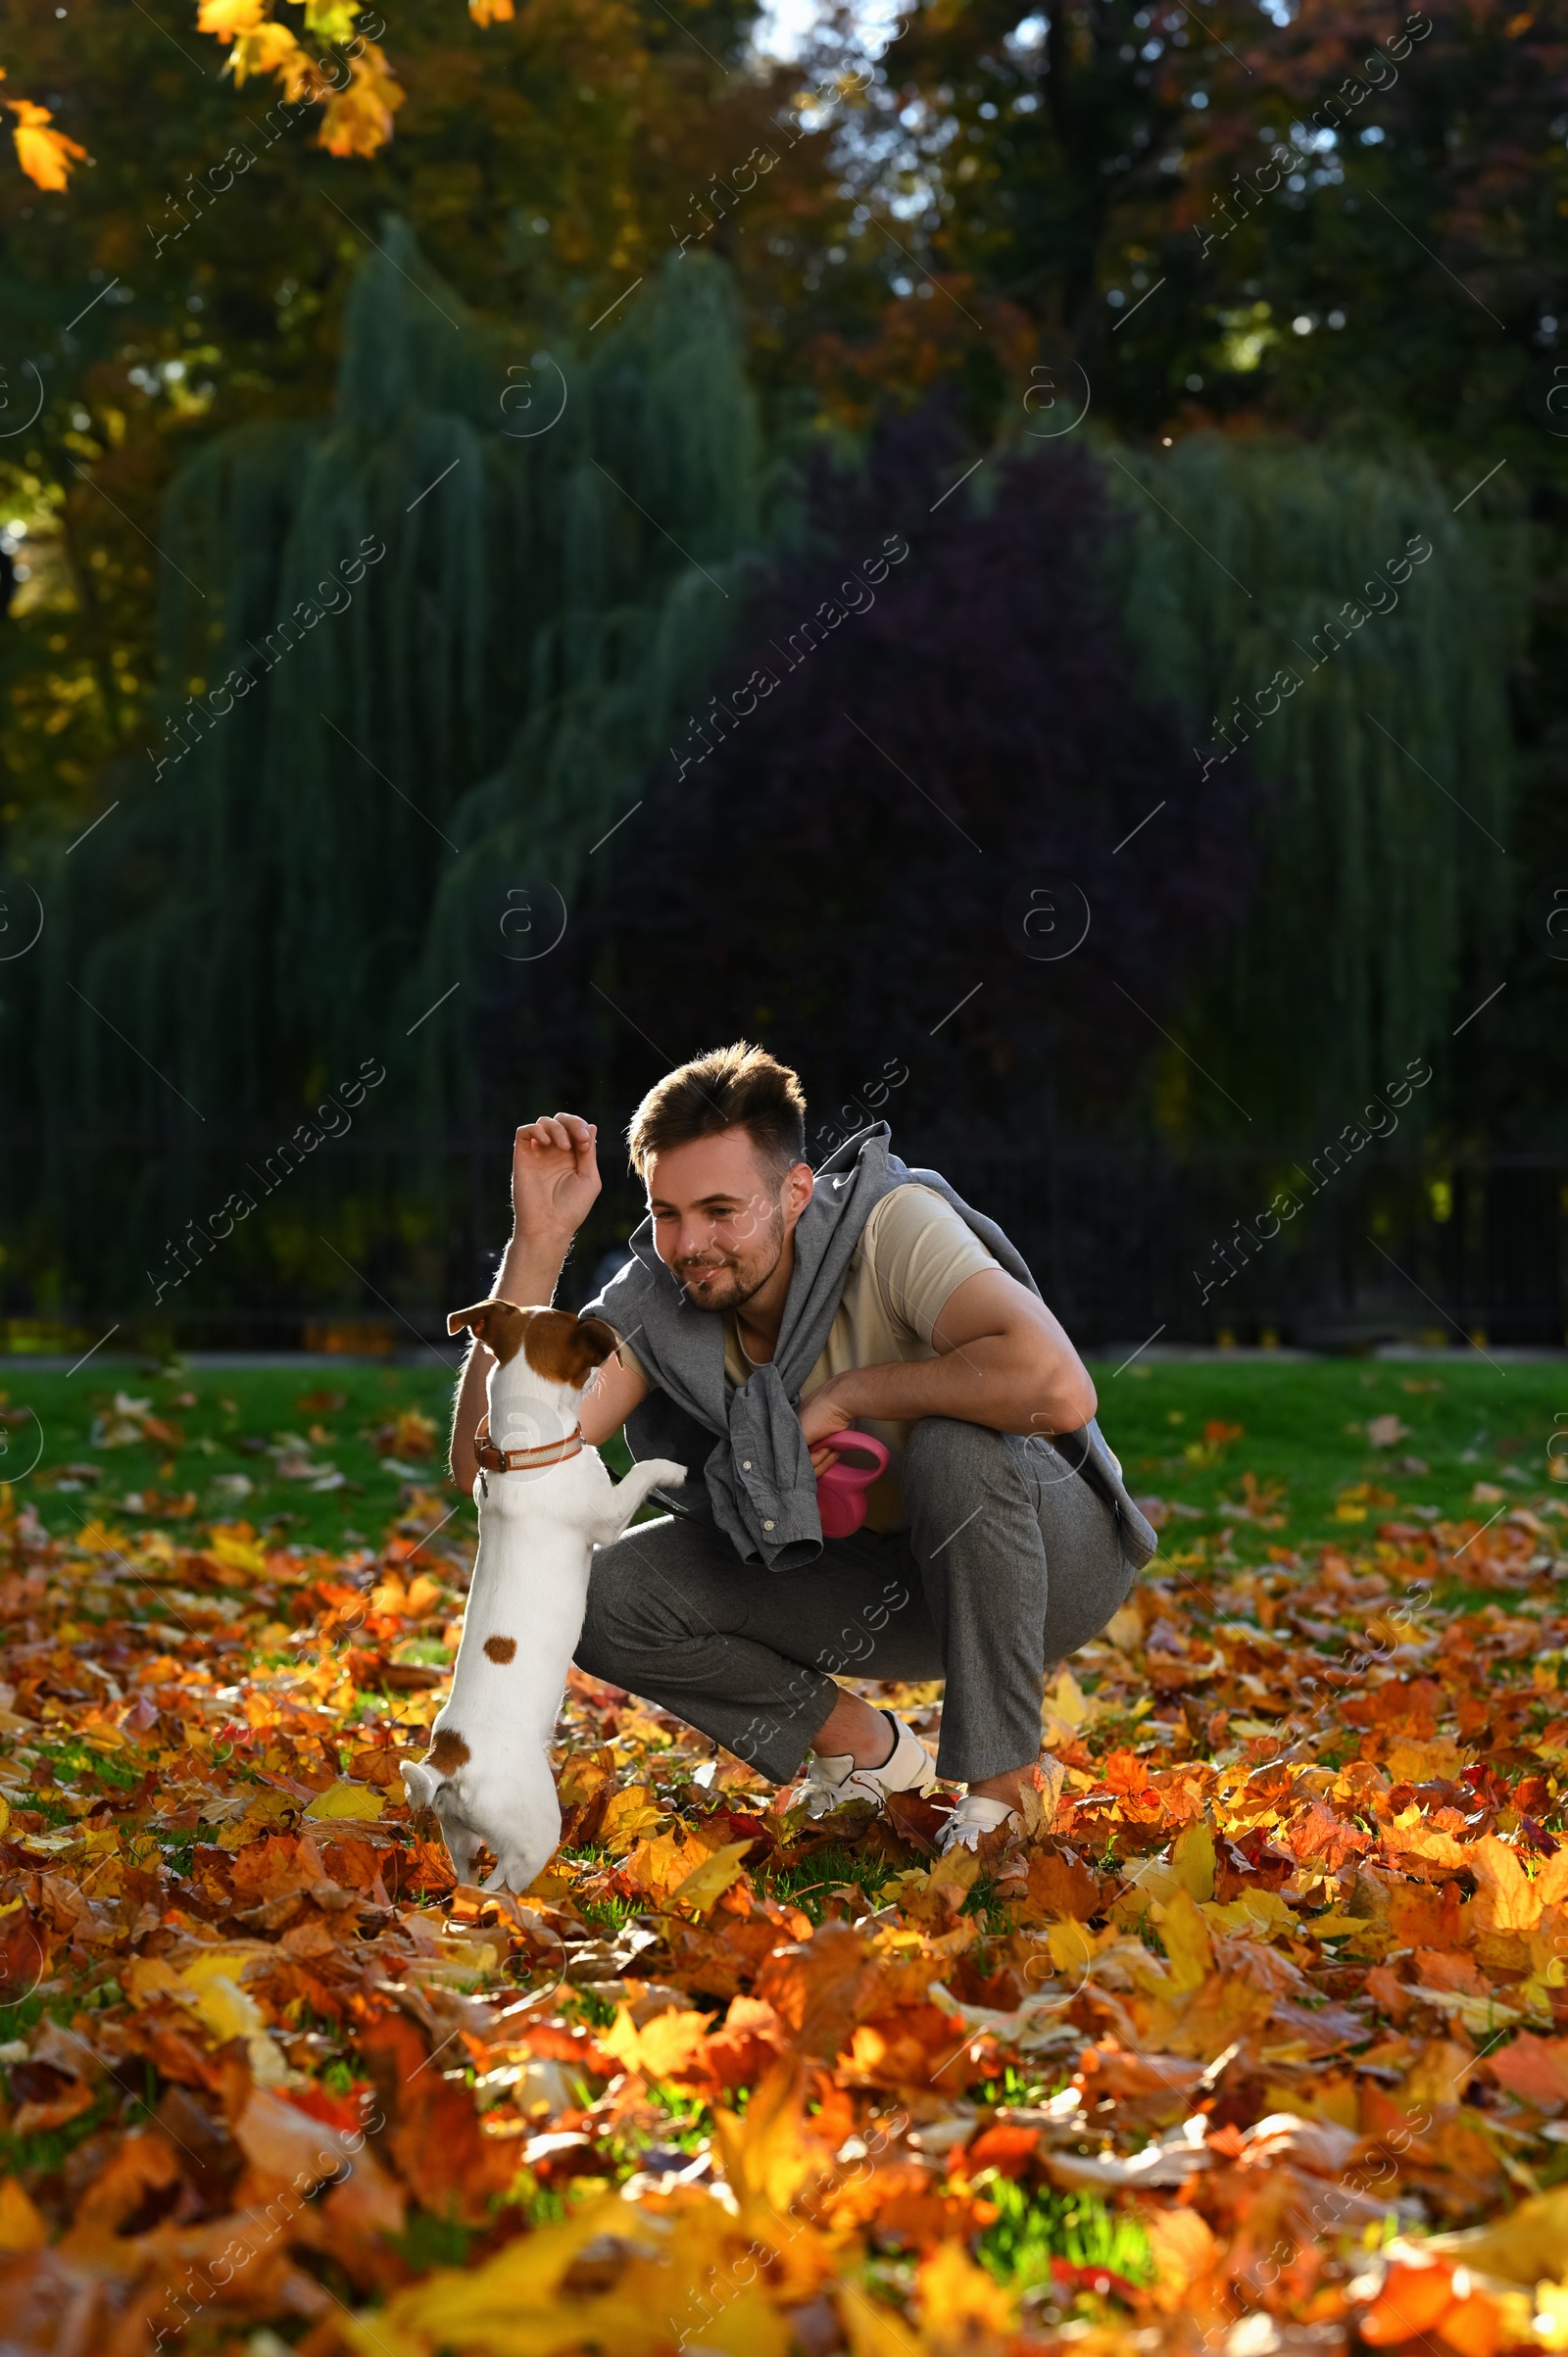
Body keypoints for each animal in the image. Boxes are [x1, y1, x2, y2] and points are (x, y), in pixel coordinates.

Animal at [398, 1301, 678, 1886]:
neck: (524, 1453)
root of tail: (449, 1759)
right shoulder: (608, 1515)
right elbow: (642, 1473)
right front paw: (673, 1470)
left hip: (457, 1833)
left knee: (464, 1884)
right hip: (532, 1834)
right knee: (498, 1888)